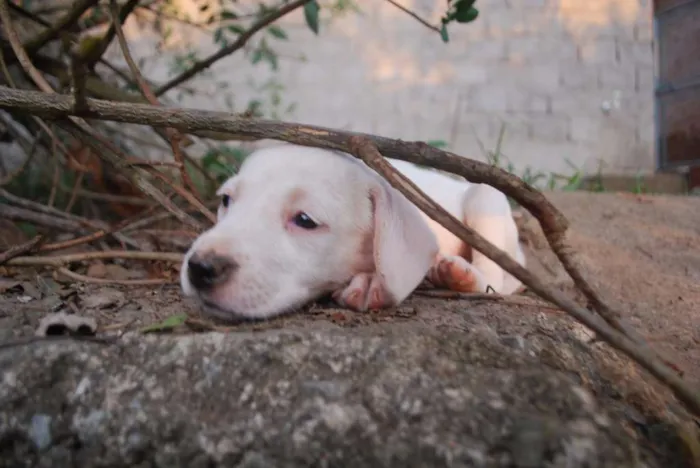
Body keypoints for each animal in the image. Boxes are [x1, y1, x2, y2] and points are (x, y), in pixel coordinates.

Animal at [180, 144, 524, 320]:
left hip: (486, 199)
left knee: (497, 280)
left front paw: (370, 283)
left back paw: (458, 275)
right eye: (226, 200)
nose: (201, 268)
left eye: (305, 220)